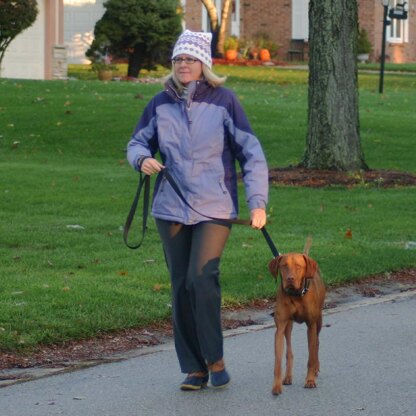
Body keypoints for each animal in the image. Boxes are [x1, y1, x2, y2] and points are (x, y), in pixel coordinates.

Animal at [268, 239, 326, 394]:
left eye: (299, 267)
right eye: (283, 266)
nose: (290, 279)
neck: (295, 295)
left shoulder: (311, 325)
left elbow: (311, 356)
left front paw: (310, 380)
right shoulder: (280, 327)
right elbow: (277, 361)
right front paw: (276, 385)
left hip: (319, 321)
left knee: (316, 344)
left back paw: (316, 368)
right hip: (288, 325)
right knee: (289, 350)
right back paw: (288, 377)